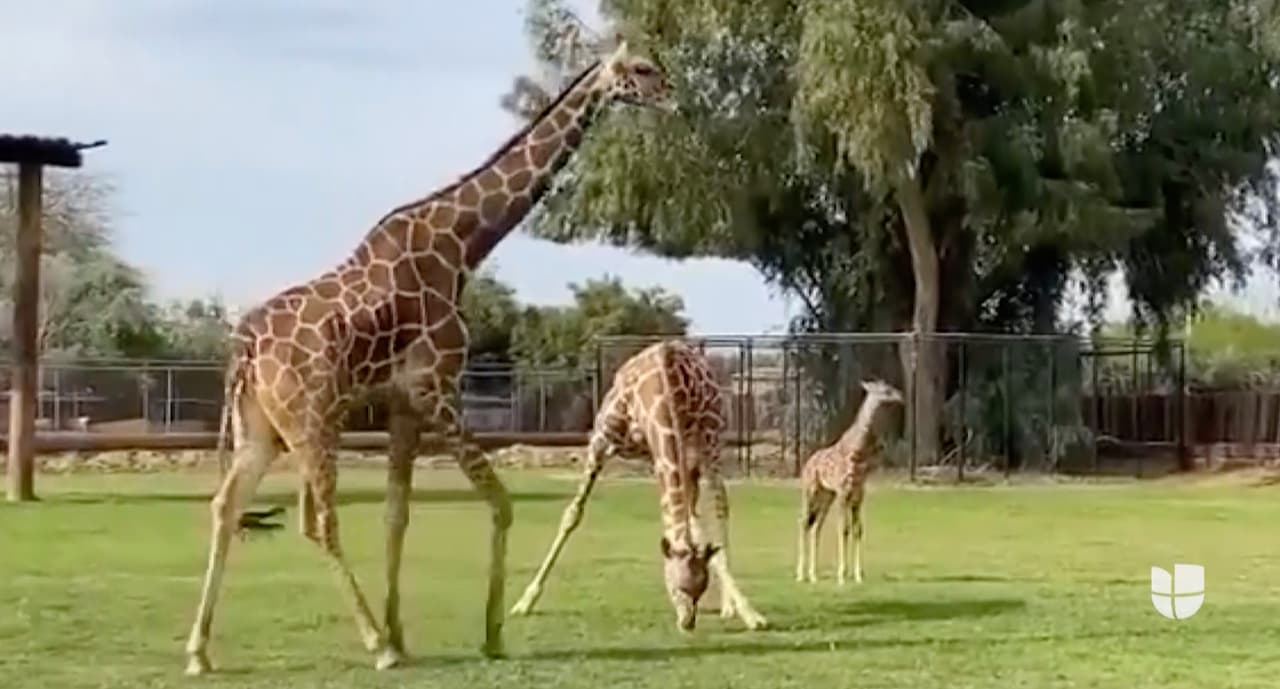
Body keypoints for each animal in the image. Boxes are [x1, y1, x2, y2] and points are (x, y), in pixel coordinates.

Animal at [183, 40, 678, 675]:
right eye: (641, 69)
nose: (673, 96)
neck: (462, 244)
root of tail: (244, 349)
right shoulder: (436, 388)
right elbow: (500, 503)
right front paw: (488, 633)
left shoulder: (403, 404)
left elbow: (398, 515)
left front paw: (404, 631)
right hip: (312, 420)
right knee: (319, 521)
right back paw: (374, 647)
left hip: (261, 429)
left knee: (226, 506)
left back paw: (199, 652)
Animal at [509, 340, 768, 632]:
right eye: (676, 588)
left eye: (700, 590)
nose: (687, 623)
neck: (660, 392)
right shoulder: (602, 441)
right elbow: (572, 515)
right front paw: (525, 601)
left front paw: (750, 613)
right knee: (695, 515)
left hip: (709, 445)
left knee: (718, 506)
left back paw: (733, 606)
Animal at [795, 379, 902, 585]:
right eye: (886, 390)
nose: (900, 396)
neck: (858, 451)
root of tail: (807, 463)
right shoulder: (844, 493)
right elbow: (844, 529)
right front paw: (842, 575)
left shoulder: (858, 495)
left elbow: (858, 530)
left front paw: (858, 575)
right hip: (811, 490)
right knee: (804, 523)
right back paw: (800, 574)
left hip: (827, 495)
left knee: (816, 527)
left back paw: (814, 575)